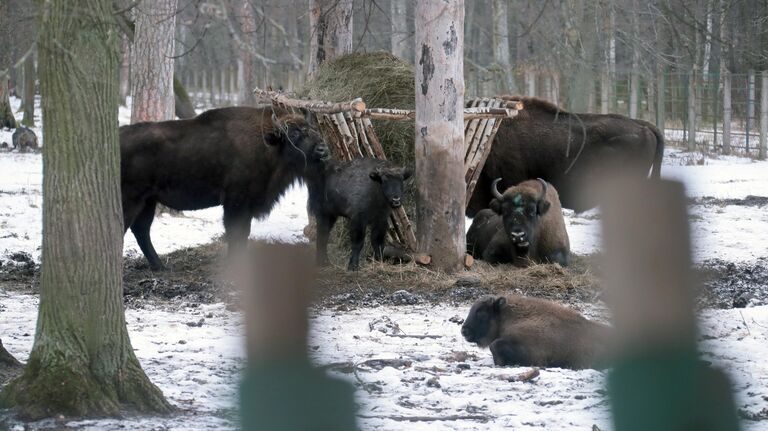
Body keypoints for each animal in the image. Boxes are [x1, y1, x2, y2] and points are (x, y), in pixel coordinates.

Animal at [119, 107, 328, 270]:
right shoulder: (235, 202)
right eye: (293, 134)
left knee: (141, 230)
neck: (267, 144)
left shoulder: (247, 205)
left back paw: (160, 267)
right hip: (131, 200)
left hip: (148, 201)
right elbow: (235, 232)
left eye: (311, 129)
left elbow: (244, 233)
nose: (322, 149)